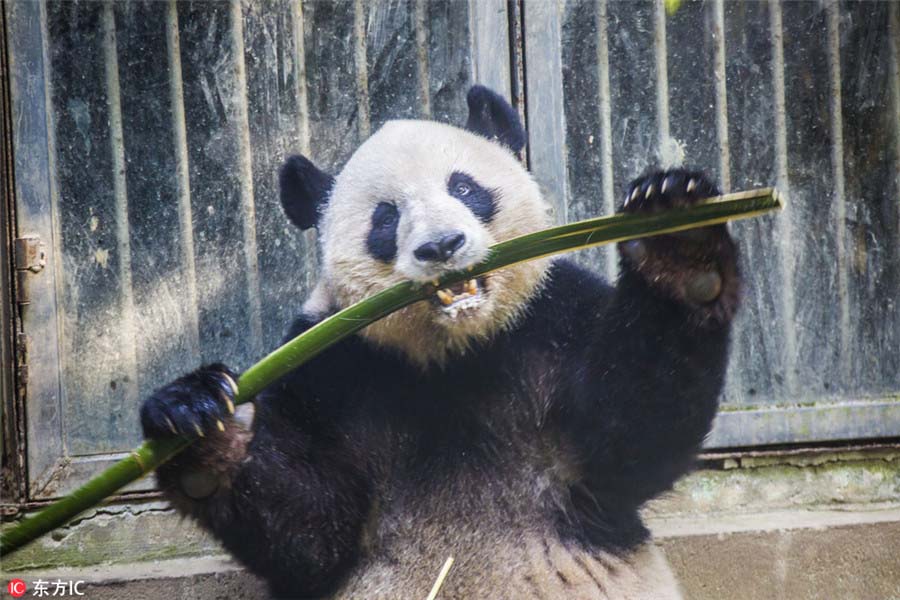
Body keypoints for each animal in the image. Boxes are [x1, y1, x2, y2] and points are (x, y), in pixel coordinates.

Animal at [140, 85, 739, 599]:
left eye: (465, 188)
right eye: (386, 218)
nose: (442, 245)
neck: (457, 352)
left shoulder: (557, 320)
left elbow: (631, 438)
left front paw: (678, 240)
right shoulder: (328, 365)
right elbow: (312, 532)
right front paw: (199, 423)